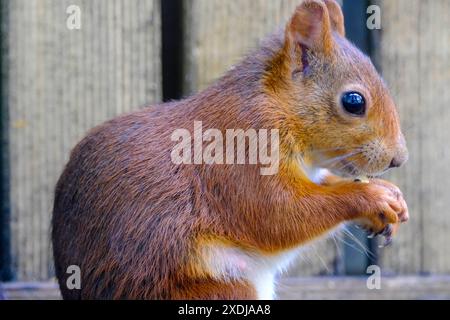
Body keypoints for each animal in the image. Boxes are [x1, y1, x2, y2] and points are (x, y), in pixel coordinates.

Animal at [51, 0, 408, 300]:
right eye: (353, 102)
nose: (398, 159)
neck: (278, 109)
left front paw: (389, 195)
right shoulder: (242, 155)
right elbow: (279, 216)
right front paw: (370, 197)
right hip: (220, 291)